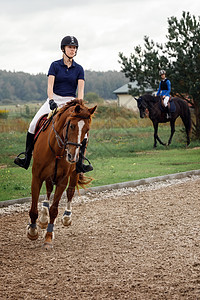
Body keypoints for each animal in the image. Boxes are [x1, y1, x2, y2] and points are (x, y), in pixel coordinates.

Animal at [26, 98, 97, 248]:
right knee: (48, 189)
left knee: (70, 191)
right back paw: (43, 217)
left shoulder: (62, 181)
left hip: (74, 171)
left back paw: (66, 217)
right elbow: (33, 208)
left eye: (87, 130)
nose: (72, 156)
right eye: (72, 126)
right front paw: (33, 231)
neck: (57, 149)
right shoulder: (36, 177)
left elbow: (54, 210)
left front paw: (48, 237)